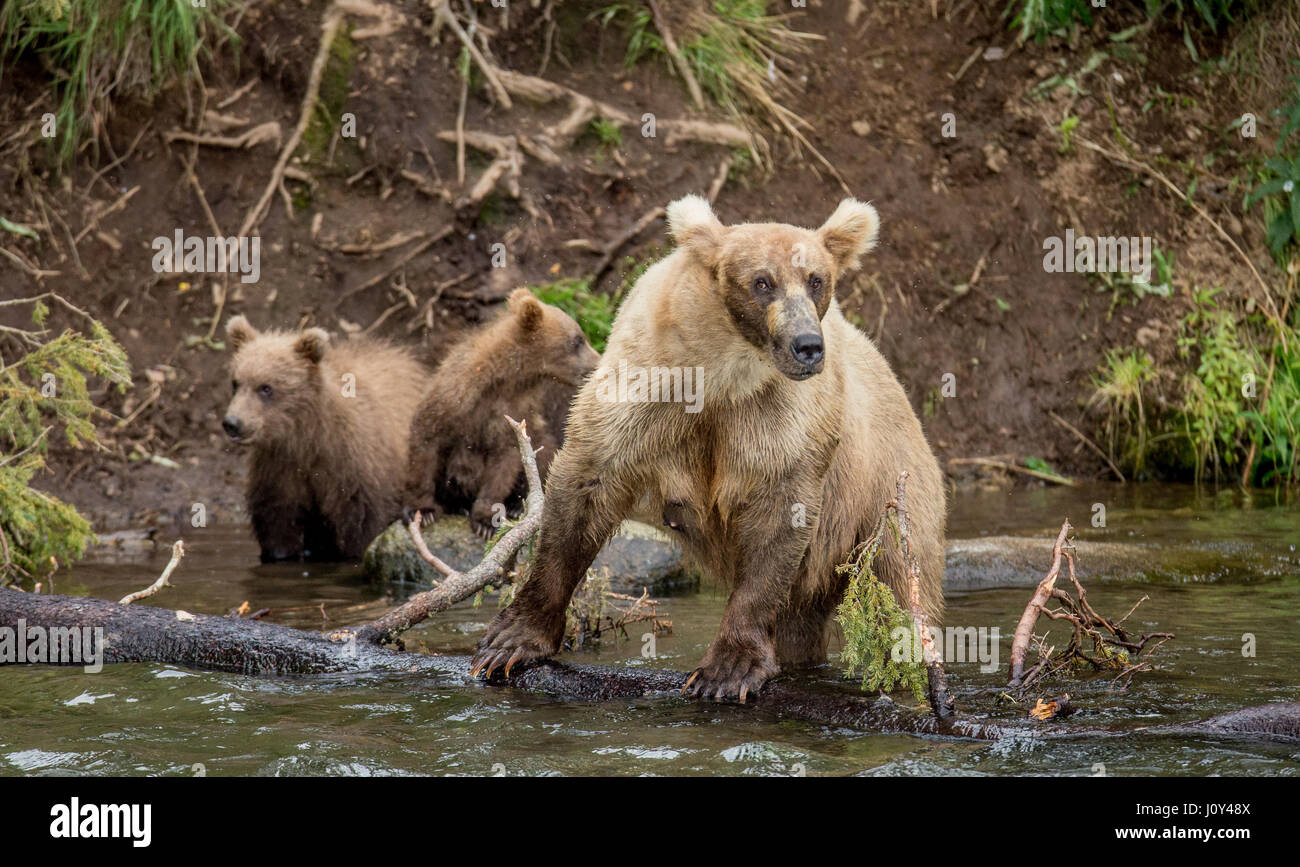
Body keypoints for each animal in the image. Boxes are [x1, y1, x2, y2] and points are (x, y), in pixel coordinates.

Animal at [222, 315, 430, 562]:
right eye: (235, 382)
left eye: (265, 387)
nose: (232, 423)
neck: (306, 439)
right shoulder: (278, 470)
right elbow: (278, 525)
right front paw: (280, 552)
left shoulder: (355, 469)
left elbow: (362, 527)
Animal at [402, 288, 600, 538]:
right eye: (577, 340)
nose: (598, 362)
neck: (504, 380)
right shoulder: (452, 400)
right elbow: (426, 442)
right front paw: (422, 510)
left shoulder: (513, 415)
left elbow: (504, 464)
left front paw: (486, 520)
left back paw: (517, 505)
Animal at [470, 195, 946, 702]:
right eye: (762, 281)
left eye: (816, 279)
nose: (807, 346)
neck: (721, 375)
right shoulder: (649, 385)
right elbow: (586, 485)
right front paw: (509, 641)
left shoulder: (779, 421)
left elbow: (779, 514)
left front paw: (727, 669)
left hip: (887, 495)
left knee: (898, 594)